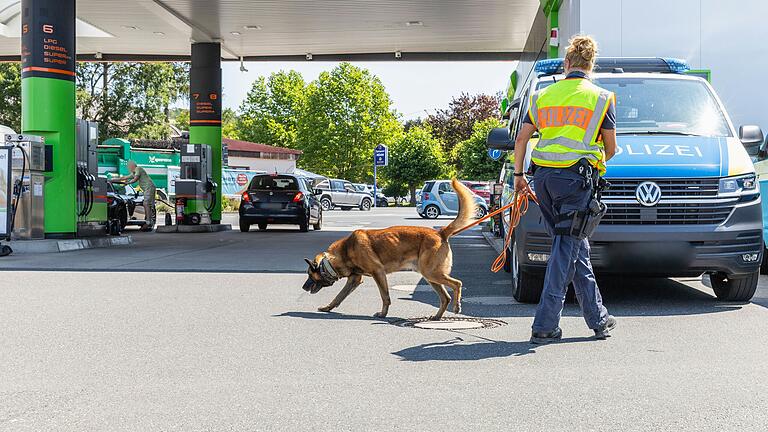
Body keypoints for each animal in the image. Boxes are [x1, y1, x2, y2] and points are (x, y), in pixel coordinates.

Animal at [302, 177, 474, 318]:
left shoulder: (378, 273)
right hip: (430, 276)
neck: (345, 250)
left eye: (310, 274)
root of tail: (440, 232)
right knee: (445, 297)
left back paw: (456, 307)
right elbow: (339, 296)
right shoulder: (354, 279)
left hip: (431, 273)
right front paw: (328, 308)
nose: (303, 288)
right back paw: (437, 317)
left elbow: (385, 296)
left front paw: (383, 314)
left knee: (457, 284)